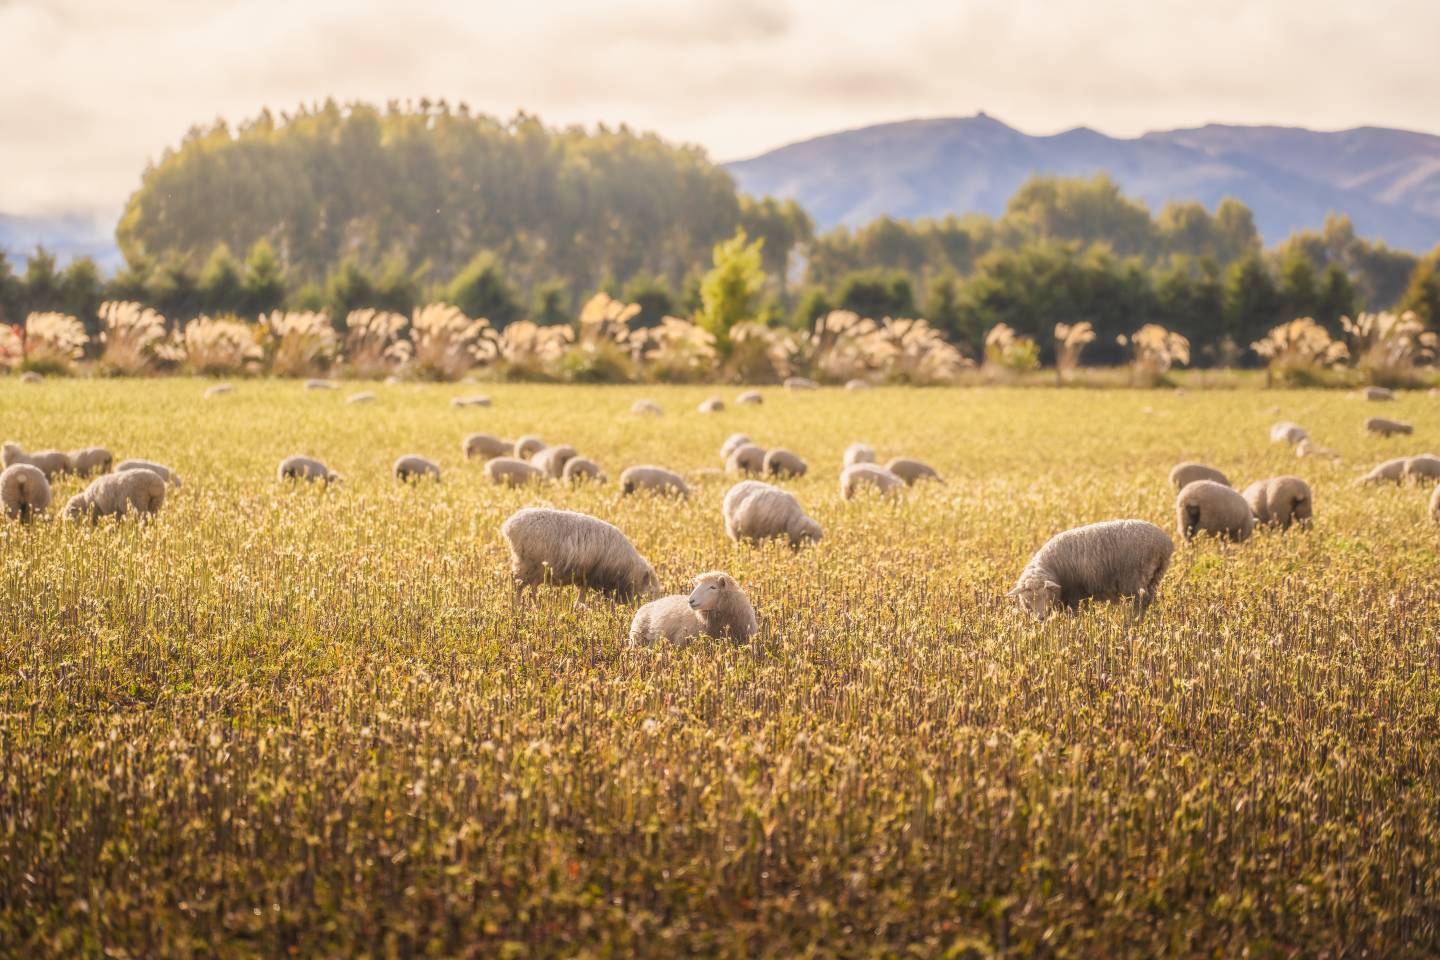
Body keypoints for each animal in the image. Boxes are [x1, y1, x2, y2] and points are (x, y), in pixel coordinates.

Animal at [500, 507, 659, 601]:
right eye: (652, 593)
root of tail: (510, 525)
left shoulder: (587, 578)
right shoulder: (593, 576)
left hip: (534, 568)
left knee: (529, 587)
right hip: (527, 564)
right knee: (516, 584)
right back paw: (517, 606)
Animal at [1008, 519, 1173, 621]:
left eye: (1045, 595)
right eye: (1028, 599)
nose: (1041, 618)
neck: (1052, 568)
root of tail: (1164, 542)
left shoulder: (1075, 594)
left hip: (1135, 578)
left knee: (1141, 600)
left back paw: (1132, 621)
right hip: (1155, 577)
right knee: (1148, 599)